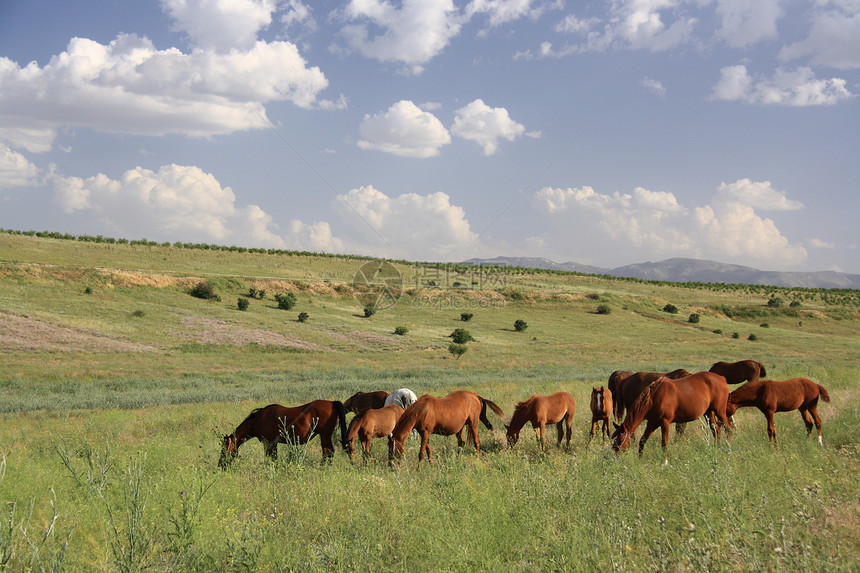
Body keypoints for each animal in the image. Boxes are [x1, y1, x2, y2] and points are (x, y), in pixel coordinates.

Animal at [220, 400, 348, 466]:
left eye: (224, 450)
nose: (221, 465)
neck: (257, 420)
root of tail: (332, 402)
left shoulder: (268, 443)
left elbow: (271, 458)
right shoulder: (273, 443)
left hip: (325, 435)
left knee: (328, 452)